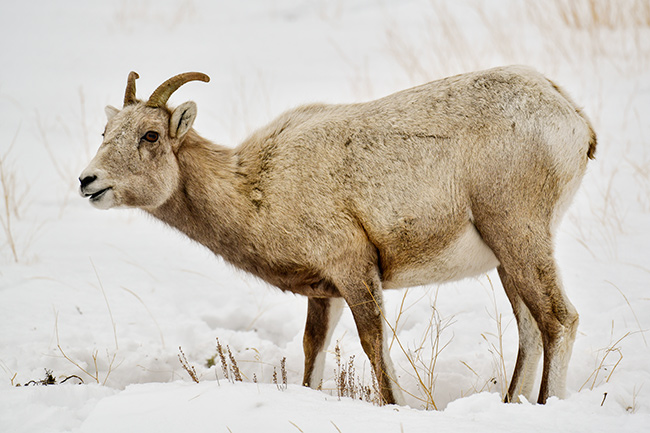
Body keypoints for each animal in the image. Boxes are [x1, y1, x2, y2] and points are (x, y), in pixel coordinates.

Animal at [79, 66, 592, 404]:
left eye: (150, 135)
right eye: (105, 131)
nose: (88, 181)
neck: (257, 188)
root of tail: (574, 119)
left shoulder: (354, 270)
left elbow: (374, 347)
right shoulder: (323, 292)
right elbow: (313, 352)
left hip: (518, 234)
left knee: (557, 320)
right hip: (508, 258)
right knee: (530, 327)